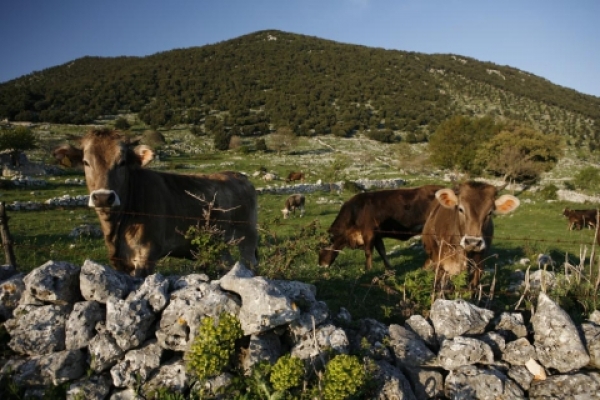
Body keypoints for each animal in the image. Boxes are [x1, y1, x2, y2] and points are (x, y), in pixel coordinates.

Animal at [52, 130, 258, 276]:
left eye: (122, 162)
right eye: (86, 162)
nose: (103, 197)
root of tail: (238, 176)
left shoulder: (147, 255)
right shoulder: (120, 261)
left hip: (247, 238)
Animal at [318, 186, 446, 270]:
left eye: (320, 249)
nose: (320, 264)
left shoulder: (368, 233)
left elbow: (368, 252)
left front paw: (368, 270)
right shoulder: (377, 235)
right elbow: (382, 251)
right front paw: (389, 269)